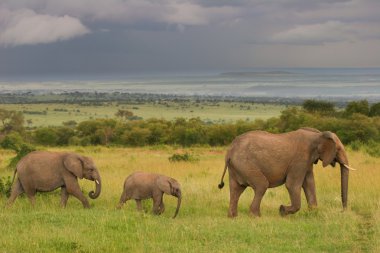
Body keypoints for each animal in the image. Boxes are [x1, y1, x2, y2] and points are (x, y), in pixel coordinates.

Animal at [218, 128, 354, 217]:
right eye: (338, 149)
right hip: (245, 164)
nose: (342, 211)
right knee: (261, 185)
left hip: (236, 167)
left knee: (236, 189)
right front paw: (282, 210)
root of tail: (229, 151)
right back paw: (255, 216)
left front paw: (313, 212)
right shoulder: (300, 159)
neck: (318, 135)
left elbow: (309, 183)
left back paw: (233, 216)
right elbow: (292, 185)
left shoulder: (307, 161)